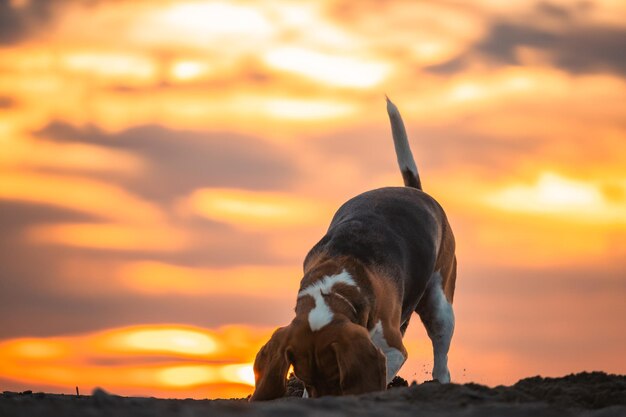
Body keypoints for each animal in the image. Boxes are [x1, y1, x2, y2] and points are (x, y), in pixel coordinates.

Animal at [247, 98, 454, 400]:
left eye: (338, 377)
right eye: (302, 378)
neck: (335, 285)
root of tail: (417, 192)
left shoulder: (391, 351)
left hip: (440, 302)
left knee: (441, 352)